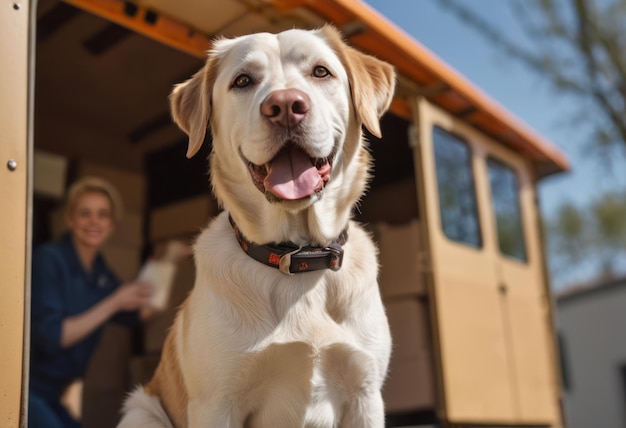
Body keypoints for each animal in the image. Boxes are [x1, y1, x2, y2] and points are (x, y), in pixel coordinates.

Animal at [117, 25, 394, 426]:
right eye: (243, 81)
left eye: (321, 71)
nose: (286, 106)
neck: (297, 253)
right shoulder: (217, 404)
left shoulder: (365, 392)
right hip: (142, 411)